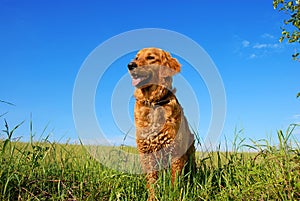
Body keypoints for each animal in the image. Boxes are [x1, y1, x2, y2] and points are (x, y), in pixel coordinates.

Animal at [127, 48, 196, 200]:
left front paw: (174, 195)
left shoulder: (176, 153)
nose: (130, 65)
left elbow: (175, 183)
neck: (153, 103)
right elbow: (152, 182)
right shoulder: (147, 153)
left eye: (151, 57)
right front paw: (152, 198)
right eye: (136, 57)